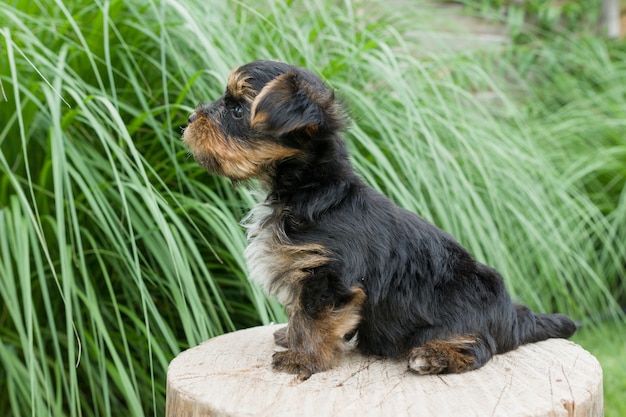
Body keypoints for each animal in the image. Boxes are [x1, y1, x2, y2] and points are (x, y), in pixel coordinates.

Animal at [182, 59, 576, 380]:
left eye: (235, 109)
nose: (188, 118)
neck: (312, 190)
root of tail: (513, 313)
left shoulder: (330, 277)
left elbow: (314, 319)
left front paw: (303, 359)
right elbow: (300, 312)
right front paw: (290, 338)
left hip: (462, 314)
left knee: (480, 347)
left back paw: (433, 357)